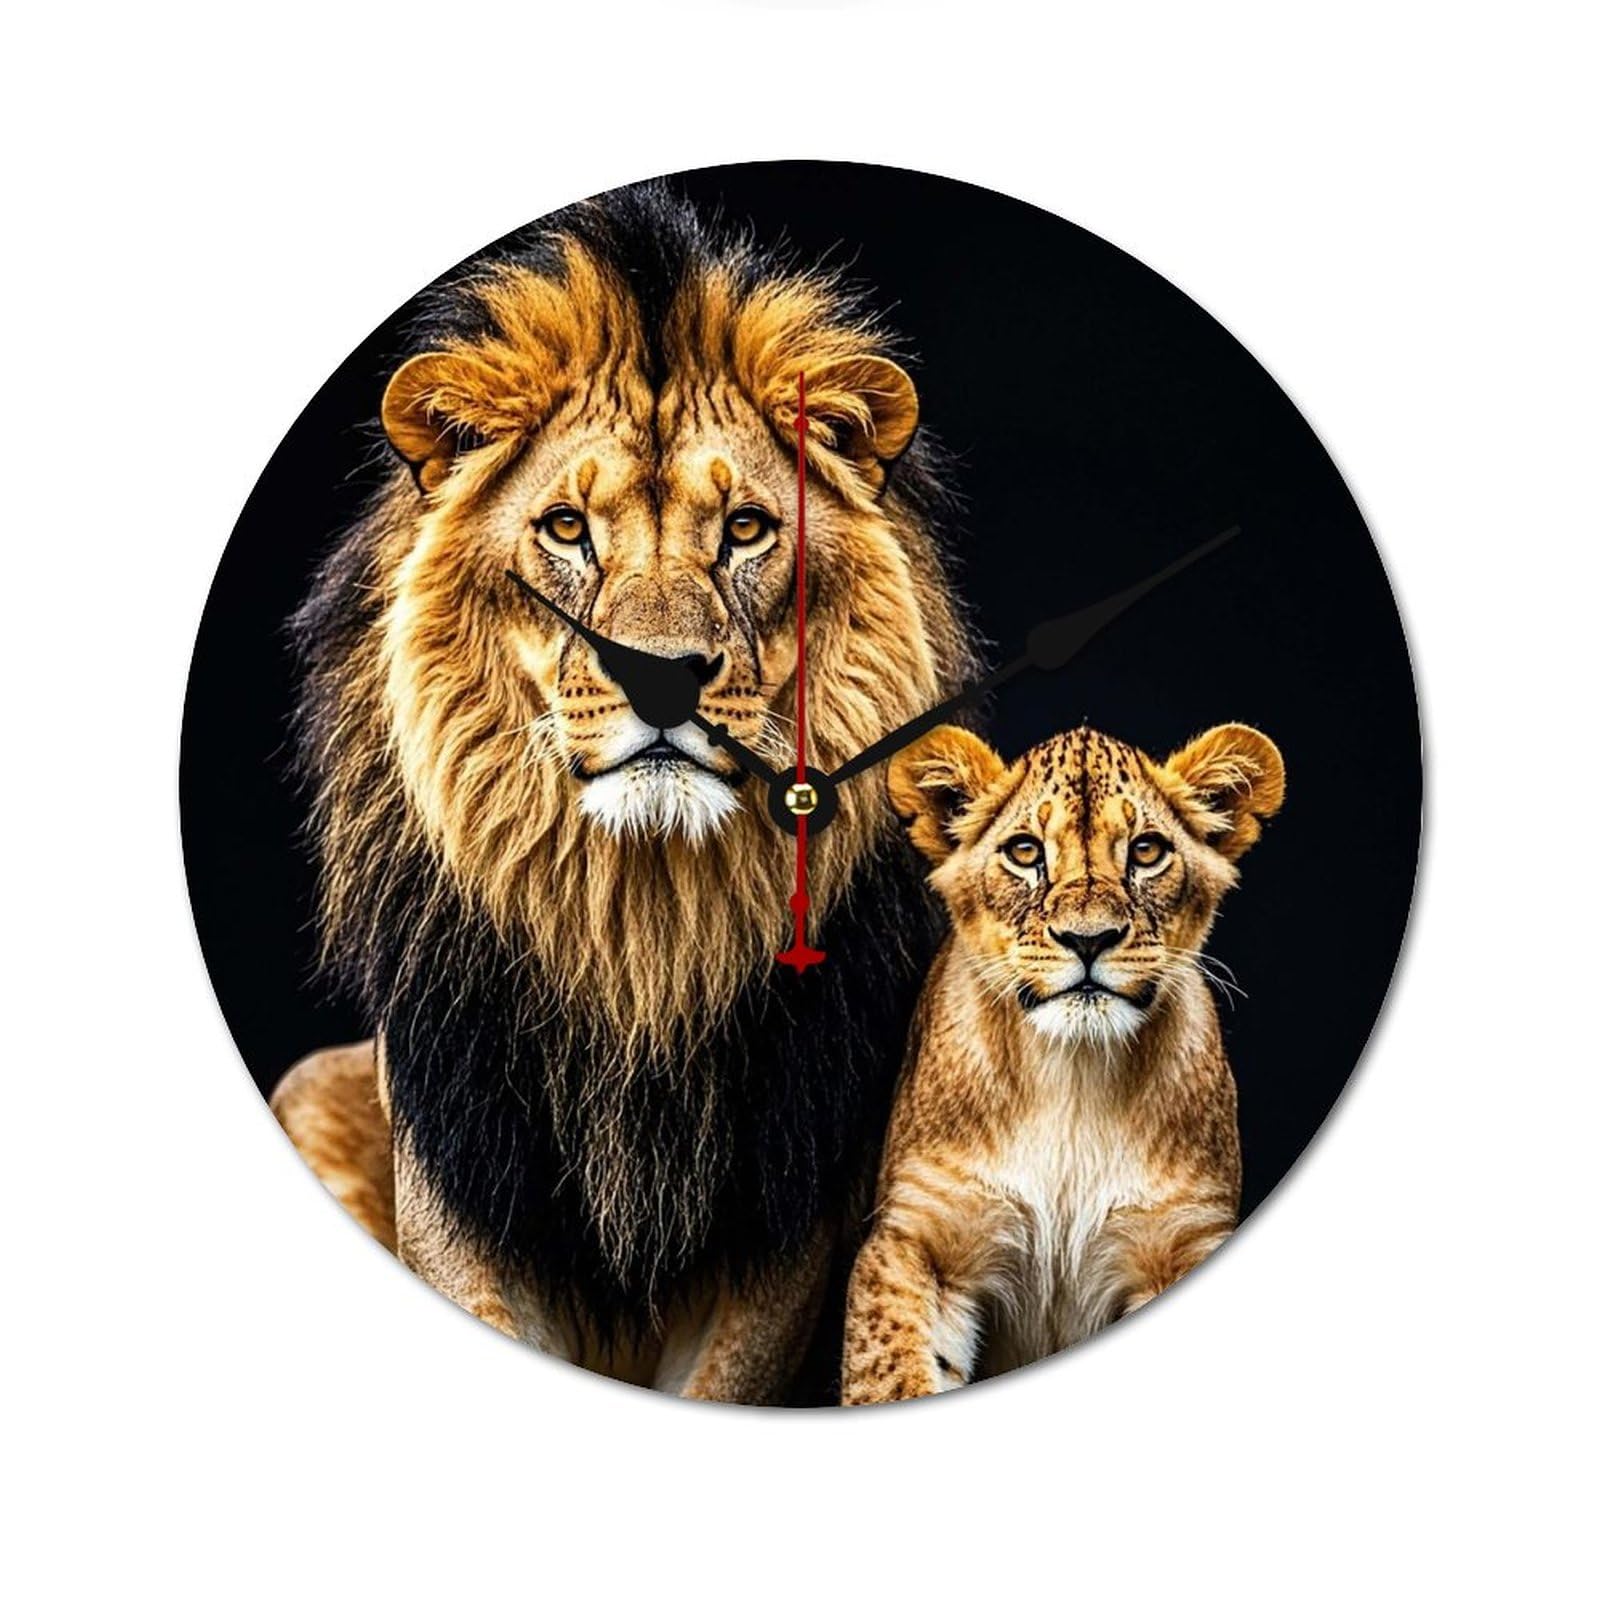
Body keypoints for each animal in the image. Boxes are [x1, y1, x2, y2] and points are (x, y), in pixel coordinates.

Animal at [269, 185, 974, 1403]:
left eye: (745, 529)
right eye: (566, 529)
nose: (662, 676)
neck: (643, 935)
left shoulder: (790, 1215)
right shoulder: (458, 1181)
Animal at [842, 721, 1284, 1402]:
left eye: (1147, 851)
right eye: (1025, 852)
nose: (1088, 938)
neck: (1073, 1078)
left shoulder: (1182, 1240)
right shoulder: (921, 1236)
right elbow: (887, 1376)